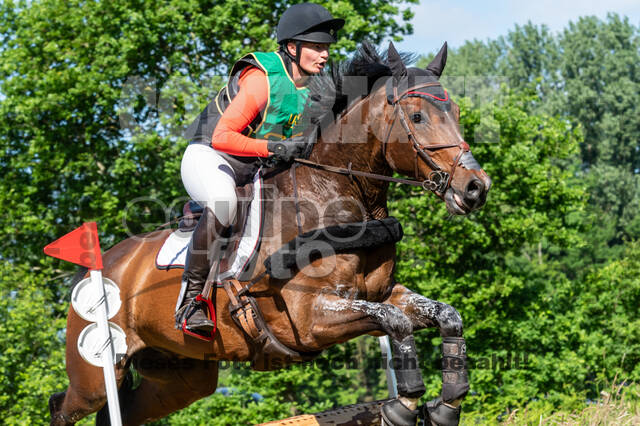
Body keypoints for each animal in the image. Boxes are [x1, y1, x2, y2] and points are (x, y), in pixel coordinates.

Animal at [49, 42, 491, 425]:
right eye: (417, 118)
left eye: (454, 110)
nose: (475, 187)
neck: (334, 195)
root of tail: (103, 264)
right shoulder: (310, 318)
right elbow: (395, 322)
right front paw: (403, 406)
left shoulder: (384, 293)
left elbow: (446, 316)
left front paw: (447, 406)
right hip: (95, 374)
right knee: (64, 406)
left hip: (180, 376)